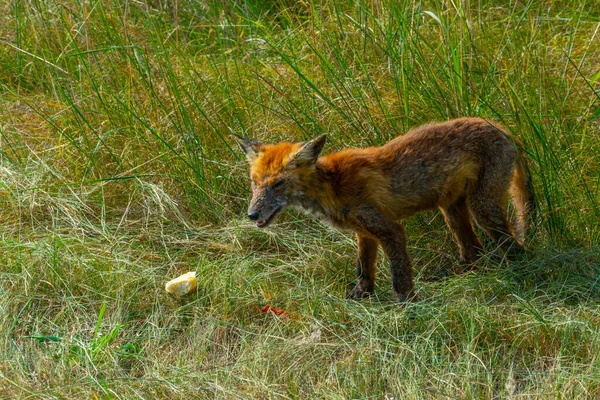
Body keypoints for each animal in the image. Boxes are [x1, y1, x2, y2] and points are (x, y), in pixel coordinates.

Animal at [231, 117, 536, 302]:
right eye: (254, 183)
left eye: (278, 184)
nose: (252, 215)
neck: (333, 186)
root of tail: (502, 128)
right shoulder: (364, 234)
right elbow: (363, 271)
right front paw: (358, 298)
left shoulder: (390, 229)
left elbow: (399, 275)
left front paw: (408, 307)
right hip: (451, 210)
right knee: (473, 251)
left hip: (482, 209)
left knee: (513, 247)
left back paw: (520, 274)